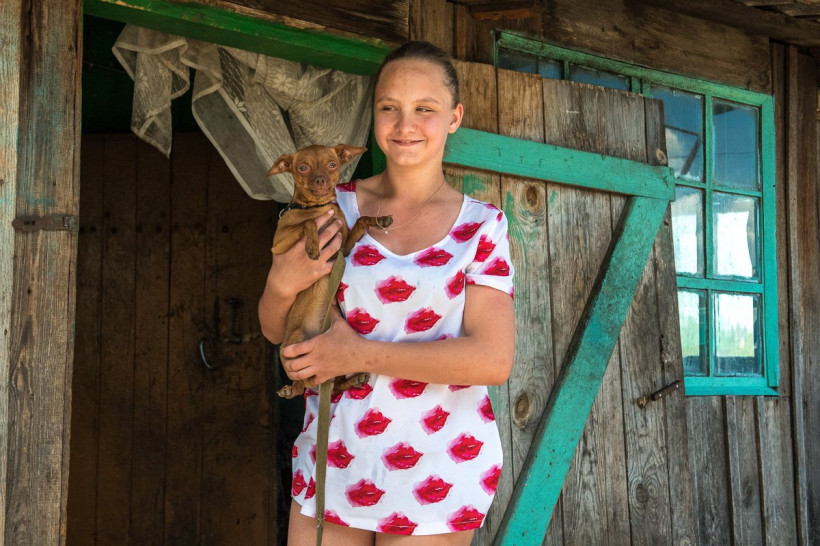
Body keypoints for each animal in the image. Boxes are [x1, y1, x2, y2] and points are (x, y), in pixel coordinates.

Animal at [267, 144, 392, 399]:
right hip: (291, 345)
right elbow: (306, 223)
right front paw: (313, 245)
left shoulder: (343, 249)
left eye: (332, 165)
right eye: (303, 167)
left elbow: (361, 221)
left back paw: (354, 379)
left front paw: (380, 219)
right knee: (301, 386)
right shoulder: (279, 244)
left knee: (332, 384)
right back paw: (290, 389)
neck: (318, 207)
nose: (321, 179)